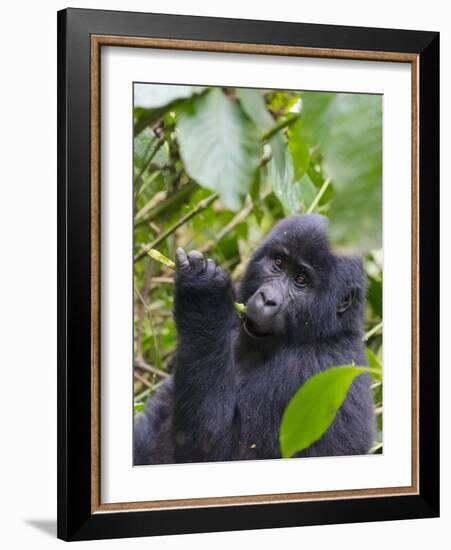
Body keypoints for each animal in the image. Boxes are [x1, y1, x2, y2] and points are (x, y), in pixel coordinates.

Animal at [134, 216, 378, 466]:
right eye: (279, 263)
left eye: (301, 280)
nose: (267, 299)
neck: (326, 331)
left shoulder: (311, 369)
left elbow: (216, 451)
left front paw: (202, 295)